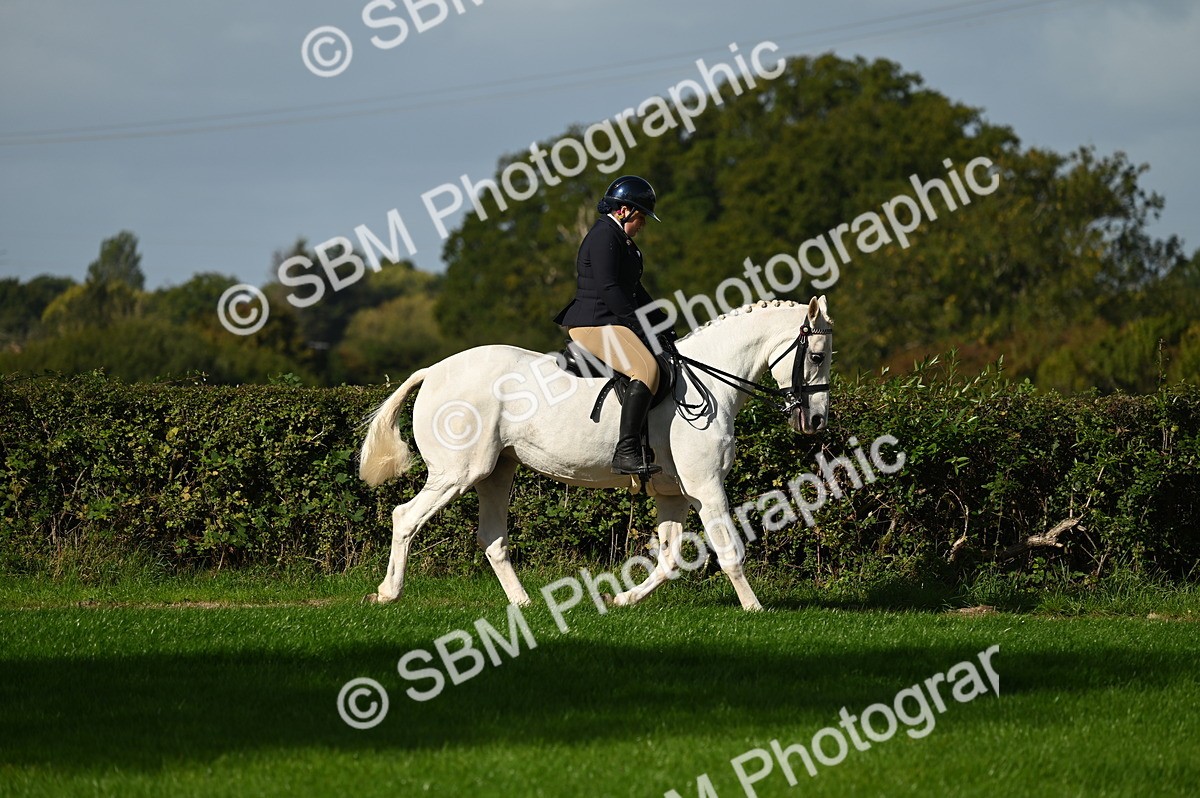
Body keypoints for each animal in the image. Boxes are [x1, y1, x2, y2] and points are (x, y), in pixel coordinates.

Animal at [358, 295, 833, 611]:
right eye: (816, 356)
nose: (816, 422)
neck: (710, 382)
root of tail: (434, 370)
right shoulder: (706, 485)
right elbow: (729, 549)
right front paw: (754, 609)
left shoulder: (675, 492)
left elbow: (671, 557)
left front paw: (623, 598)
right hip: (459, 473)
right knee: (406, 517)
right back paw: (388, 593)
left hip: (496, 472)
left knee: (492, 539)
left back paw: (525, 603)